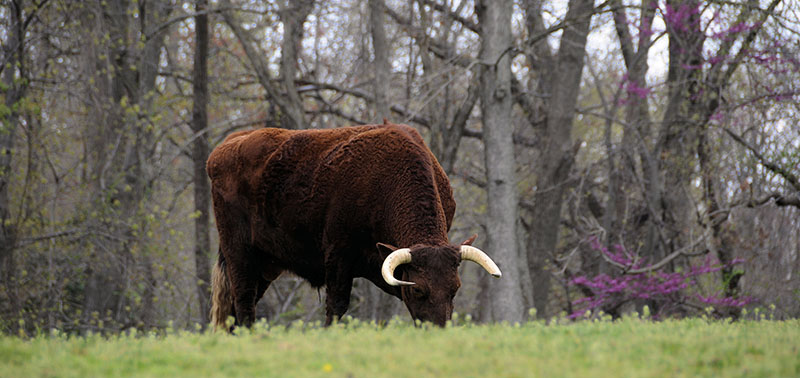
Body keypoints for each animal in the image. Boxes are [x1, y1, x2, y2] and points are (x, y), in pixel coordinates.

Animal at [209, 122, 504, 328]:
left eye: (455, 289)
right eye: (419, 289)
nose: (439, 331)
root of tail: (228, 145)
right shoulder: (339, 255)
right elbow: (337, 306)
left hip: (266, 264)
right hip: (239, 252)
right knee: (243, 302)